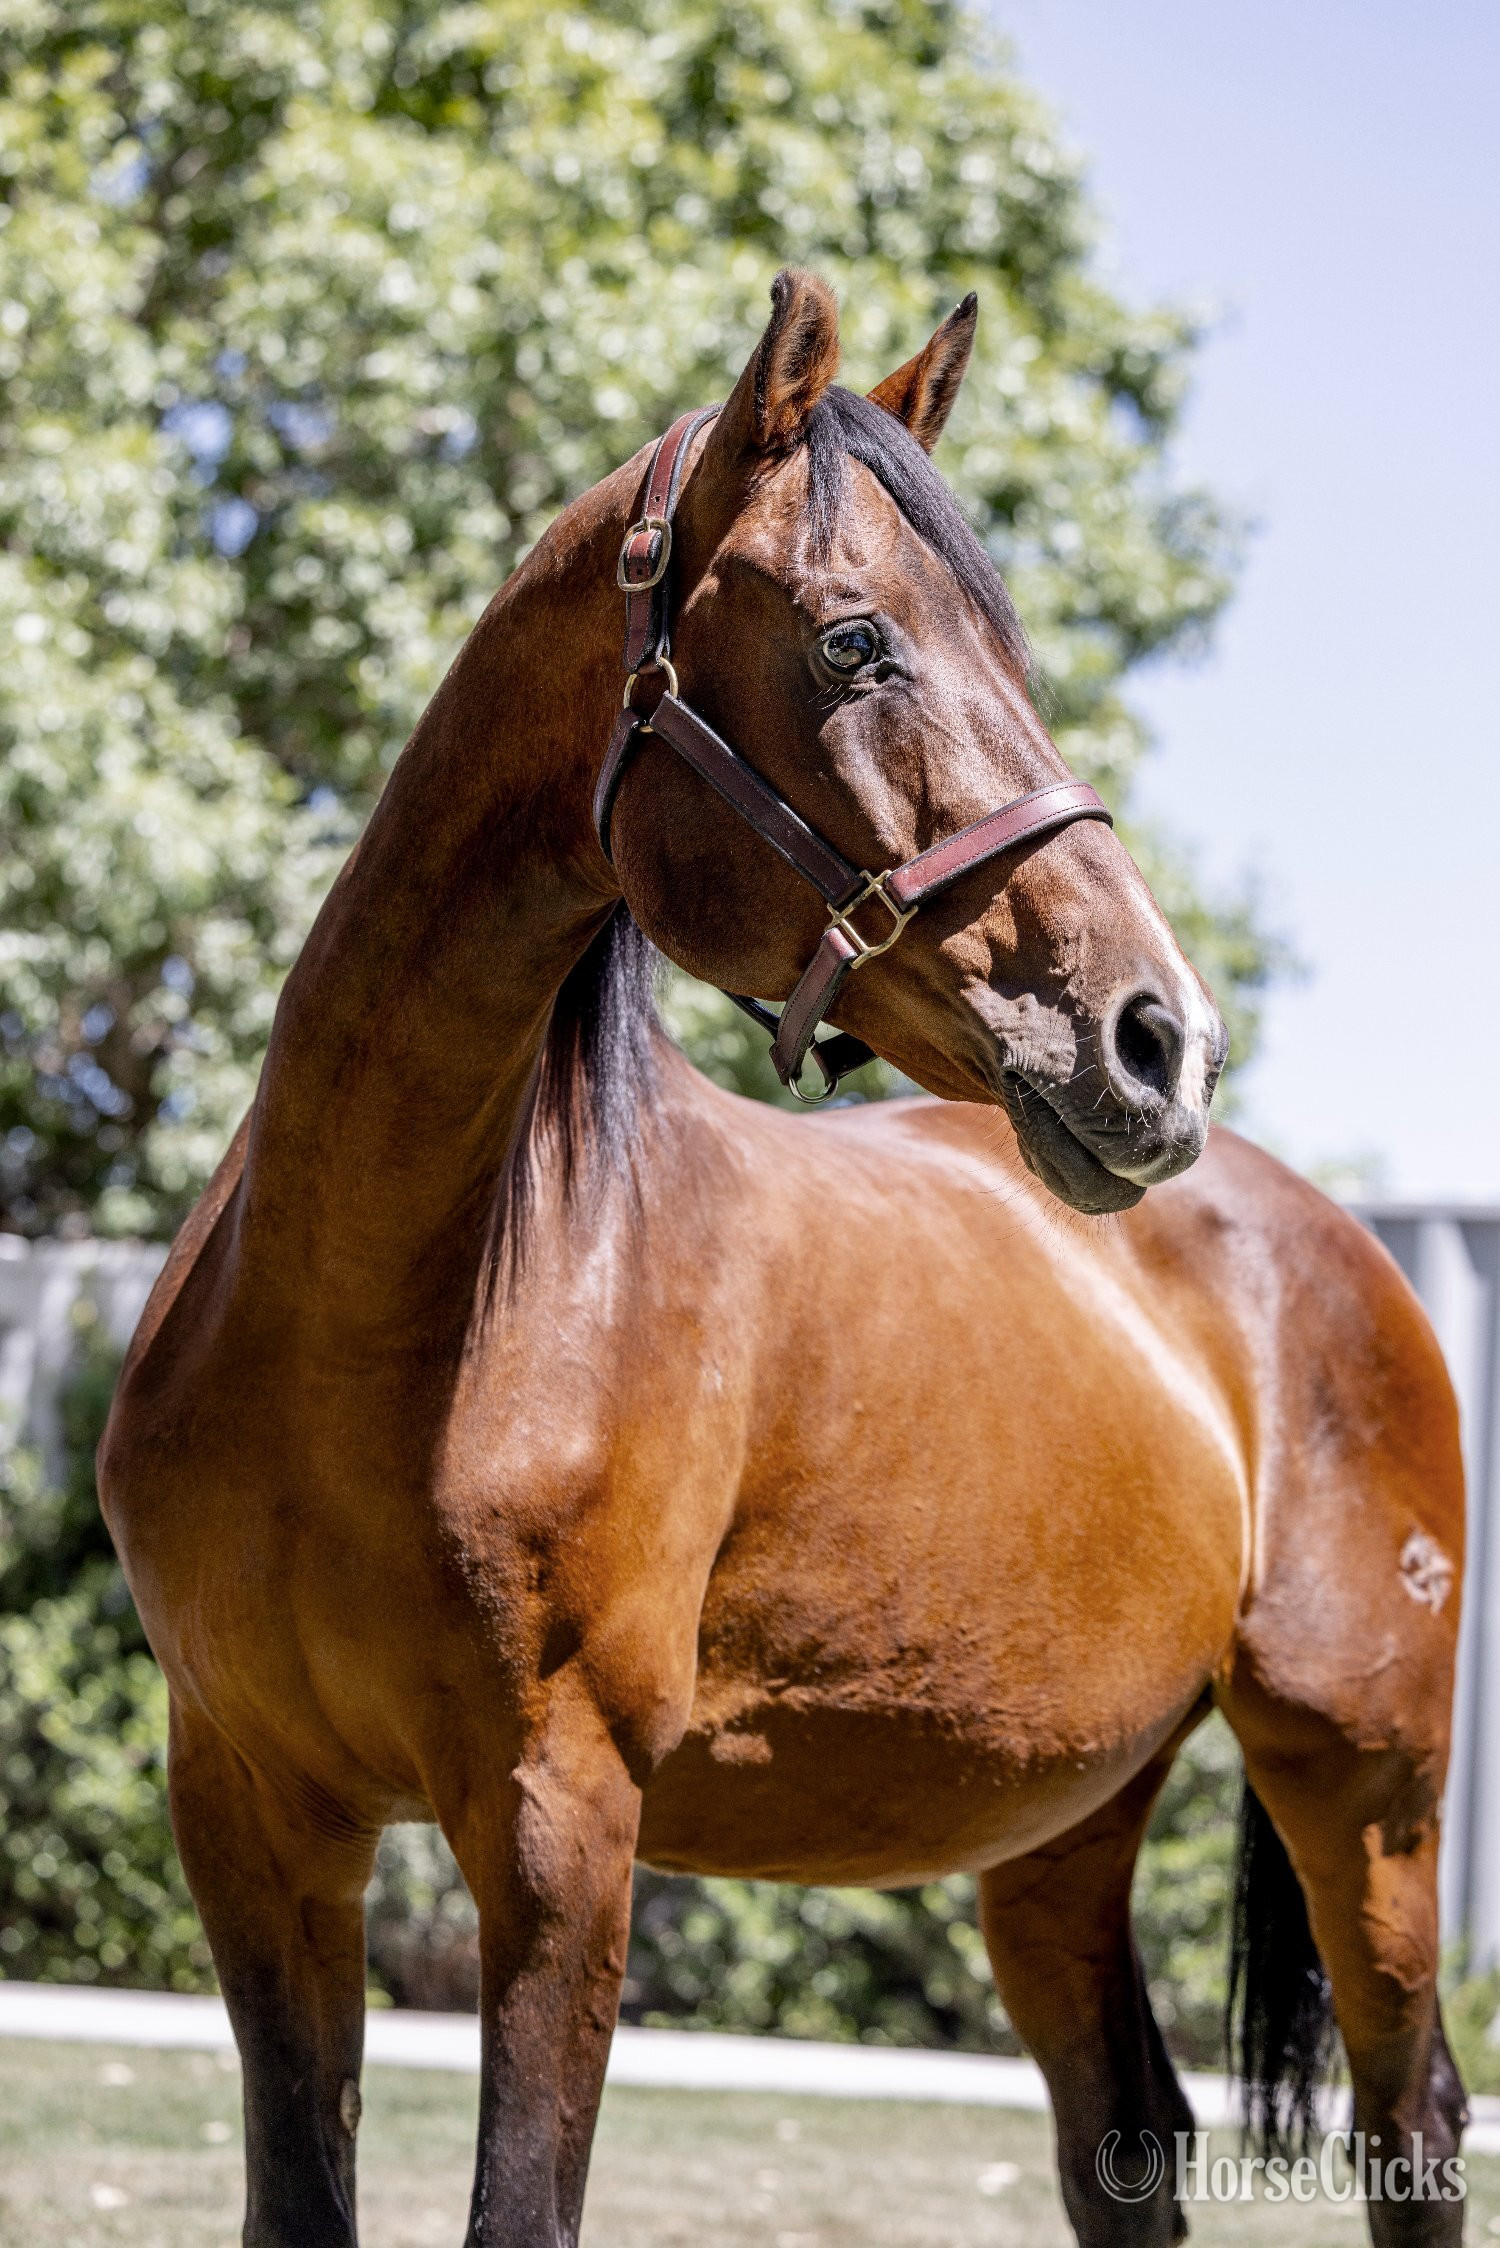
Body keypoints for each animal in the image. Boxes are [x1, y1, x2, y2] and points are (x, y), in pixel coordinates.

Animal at [100, 270, 1466, 2248]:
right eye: (853, 643)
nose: (1158, 1043)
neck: (368, 1328)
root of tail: (1340, 1256)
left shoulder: (562, 1828)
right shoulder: (253, 1818)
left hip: (1366, 1793)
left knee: (1411, 2125)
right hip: (1065, 1830)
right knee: (1126, 2147)